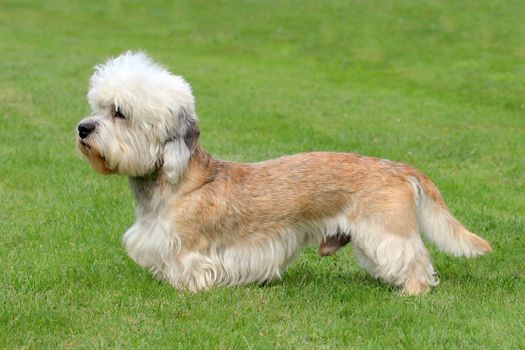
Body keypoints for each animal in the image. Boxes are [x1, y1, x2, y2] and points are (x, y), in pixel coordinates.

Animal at [74, 50, 492, 294]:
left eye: (120, 113)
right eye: (96, 107)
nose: (82, 128)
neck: (173, 184)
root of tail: (400, 168)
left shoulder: (190, 249)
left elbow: (189, 270)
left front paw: (186, 288)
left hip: (388, 232)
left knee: (415, 259)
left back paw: (413, 291)